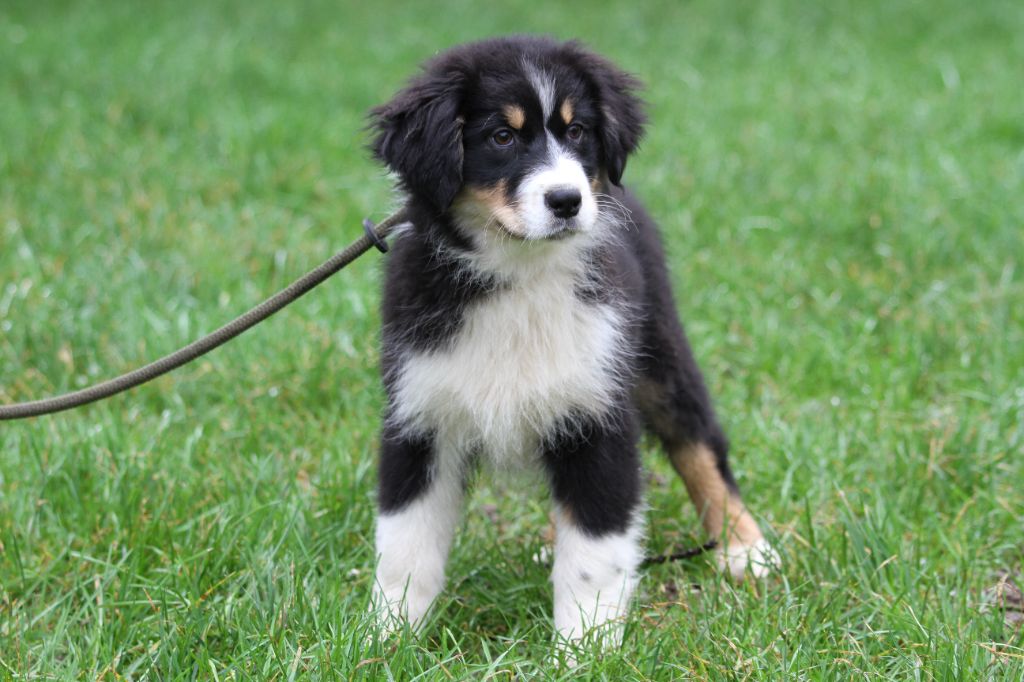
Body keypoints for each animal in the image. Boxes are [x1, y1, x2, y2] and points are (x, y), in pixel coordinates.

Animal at [364, 35, 770, 643]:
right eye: (502, 137)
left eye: (577, 131)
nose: (567, 200)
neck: (519, 272)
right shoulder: (419, 416)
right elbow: (404, 548)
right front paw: (382, 640)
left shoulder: (598, 413)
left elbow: (594, 553)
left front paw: (585, 647)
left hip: (658, 353)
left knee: (699, 445)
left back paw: (746, 547)